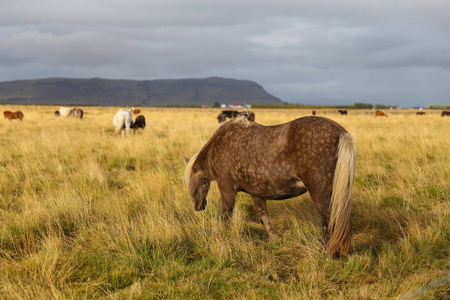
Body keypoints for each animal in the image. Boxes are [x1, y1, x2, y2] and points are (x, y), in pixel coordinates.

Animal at [185, 116, 356, 256]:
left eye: (193, 180)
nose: (198, 206)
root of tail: (339, 132)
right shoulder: (256, 193)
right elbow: (264, 217)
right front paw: (273, 240)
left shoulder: (227, 188)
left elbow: (226, 216)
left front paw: (223, 238)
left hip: (320, 194)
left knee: (329, 218)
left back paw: (326, 250)